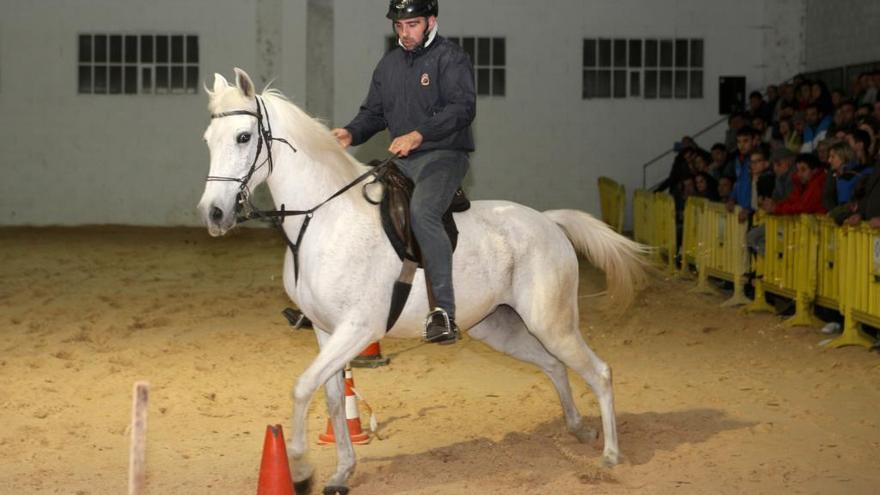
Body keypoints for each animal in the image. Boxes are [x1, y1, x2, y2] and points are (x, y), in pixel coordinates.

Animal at [198, 68, 648, 494]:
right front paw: (342, 471)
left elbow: (302, 387)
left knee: (599, 372)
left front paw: (298, 466)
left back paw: (610, 455)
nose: (214, 213)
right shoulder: (326, 333)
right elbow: (331, 399)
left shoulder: (358, 330)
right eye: (208, 140)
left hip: (552, 323)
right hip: (500, 328)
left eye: (243, 137)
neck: (324, 217)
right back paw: (579, 428)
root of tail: (549, 222)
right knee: (555, 366)